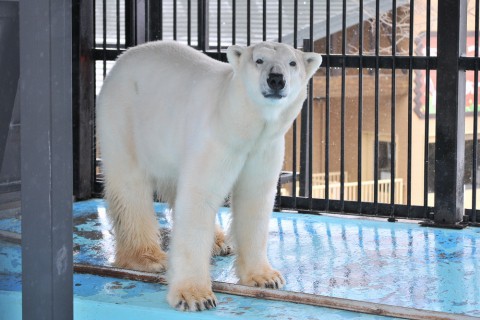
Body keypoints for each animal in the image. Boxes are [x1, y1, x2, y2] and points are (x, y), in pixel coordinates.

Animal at [95, 40, 320, 310]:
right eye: (259, 60)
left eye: (292, 62)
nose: (276, 79)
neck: (240, 122)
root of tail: (122, 59)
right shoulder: (217, 140)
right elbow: (198, 199)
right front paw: (195, 296)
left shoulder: (265, 147)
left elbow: (254, 200)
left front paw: (266, 277)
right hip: (124, 118)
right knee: (130, 186)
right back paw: (148, 257)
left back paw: (220, 242)